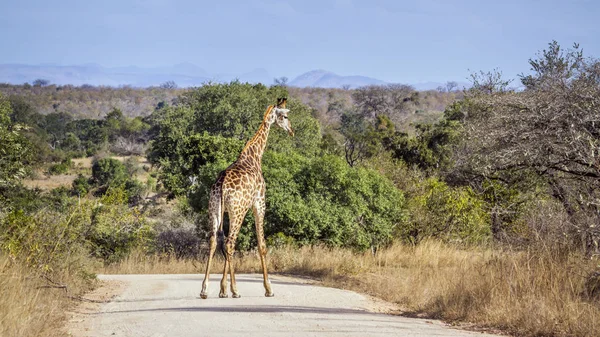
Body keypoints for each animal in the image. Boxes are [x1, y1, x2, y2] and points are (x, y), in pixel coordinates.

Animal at [200, 98, 294, 300]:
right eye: (284, 116)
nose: (291, 130)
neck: (254, 155)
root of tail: (221, 185)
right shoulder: (259, 203)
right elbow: (262, 245)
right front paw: (268, 288)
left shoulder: (228, 210)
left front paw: (222, 290)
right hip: (238, 211)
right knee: (230, 243)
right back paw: (235, 290)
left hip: (214, 210)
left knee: (214, 241)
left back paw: (205, 290)